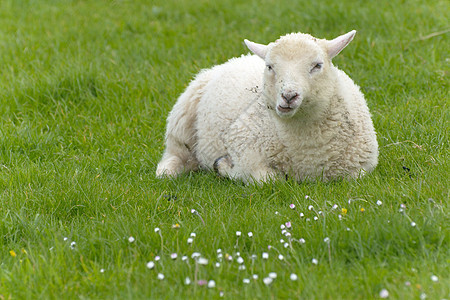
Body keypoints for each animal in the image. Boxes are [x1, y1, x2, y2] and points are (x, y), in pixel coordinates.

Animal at [156, 31, 378, 184]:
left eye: (317, 65)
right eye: (270, 67)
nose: (288, 96)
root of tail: (237, 58)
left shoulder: (362, 167)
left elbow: (355, 176)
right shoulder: (241, 144)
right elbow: (268, 180)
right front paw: (224, 167)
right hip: (182, 119)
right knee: (174, 154)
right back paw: (168, 171)